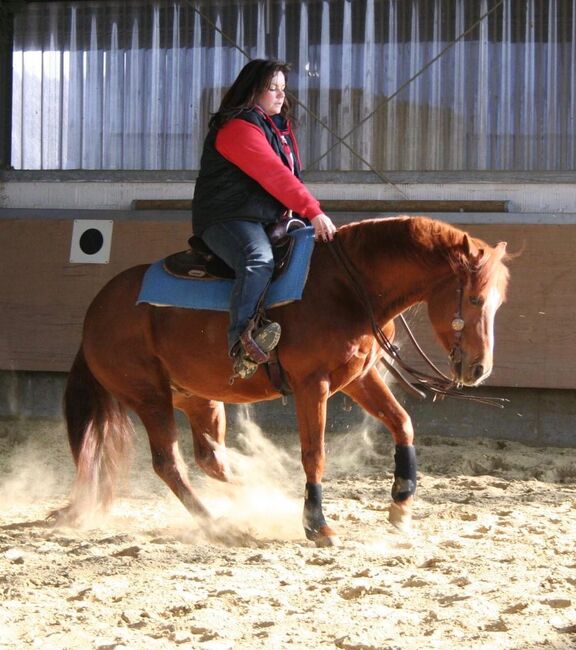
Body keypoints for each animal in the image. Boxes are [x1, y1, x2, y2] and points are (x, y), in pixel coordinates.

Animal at [59, 215, 508, 544]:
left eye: (498, 302)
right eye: (474, 298)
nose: (480, 369)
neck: (345, 287)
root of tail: (96, 311)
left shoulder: (360, 377)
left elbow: (403, 424)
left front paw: (400, 506)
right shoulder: (313, 385)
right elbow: (315, 454)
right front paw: (317, 525)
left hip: (199, 398)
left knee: (210, 459)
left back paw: (258, 498)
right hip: (150, 398)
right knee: (170, 464)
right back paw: (217, 523)